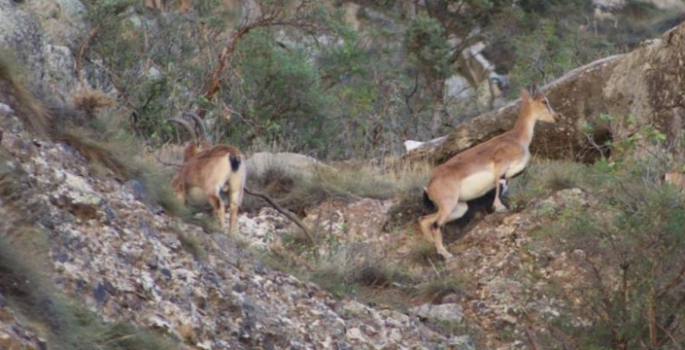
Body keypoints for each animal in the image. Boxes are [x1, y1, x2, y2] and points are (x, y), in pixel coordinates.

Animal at [420, 85, 560, 260]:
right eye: (544, 101)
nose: (557, 117)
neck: (516, 138)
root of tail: (429, 186)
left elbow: (502, 187)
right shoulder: (501, 165)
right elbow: (499, 186)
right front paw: (499, 207)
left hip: (458, 208)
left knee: (425, 220)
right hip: (448, 205)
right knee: (435, 225)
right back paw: (447, 255)